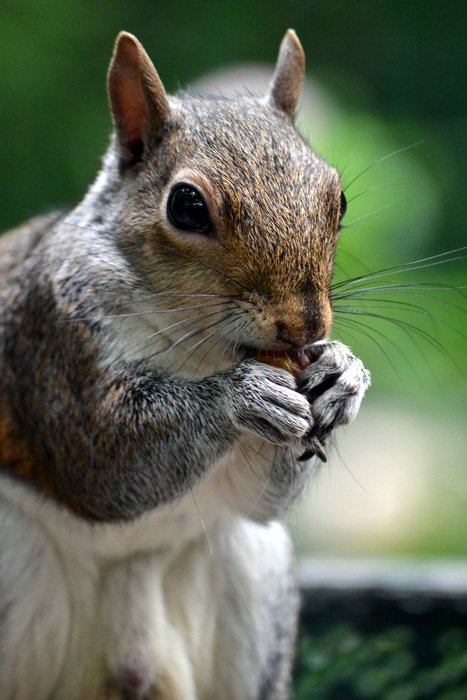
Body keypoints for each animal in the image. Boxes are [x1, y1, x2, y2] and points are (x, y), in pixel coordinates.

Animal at [0, 29, 370, 700]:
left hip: (250, 576)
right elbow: (104, 464)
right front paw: (241, 397)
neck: (198, 350)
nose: (305, 326)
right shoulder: (53, 344)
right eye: (187, 206)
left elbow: (257, 500)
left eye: (340, 197)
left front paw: (343, 375)